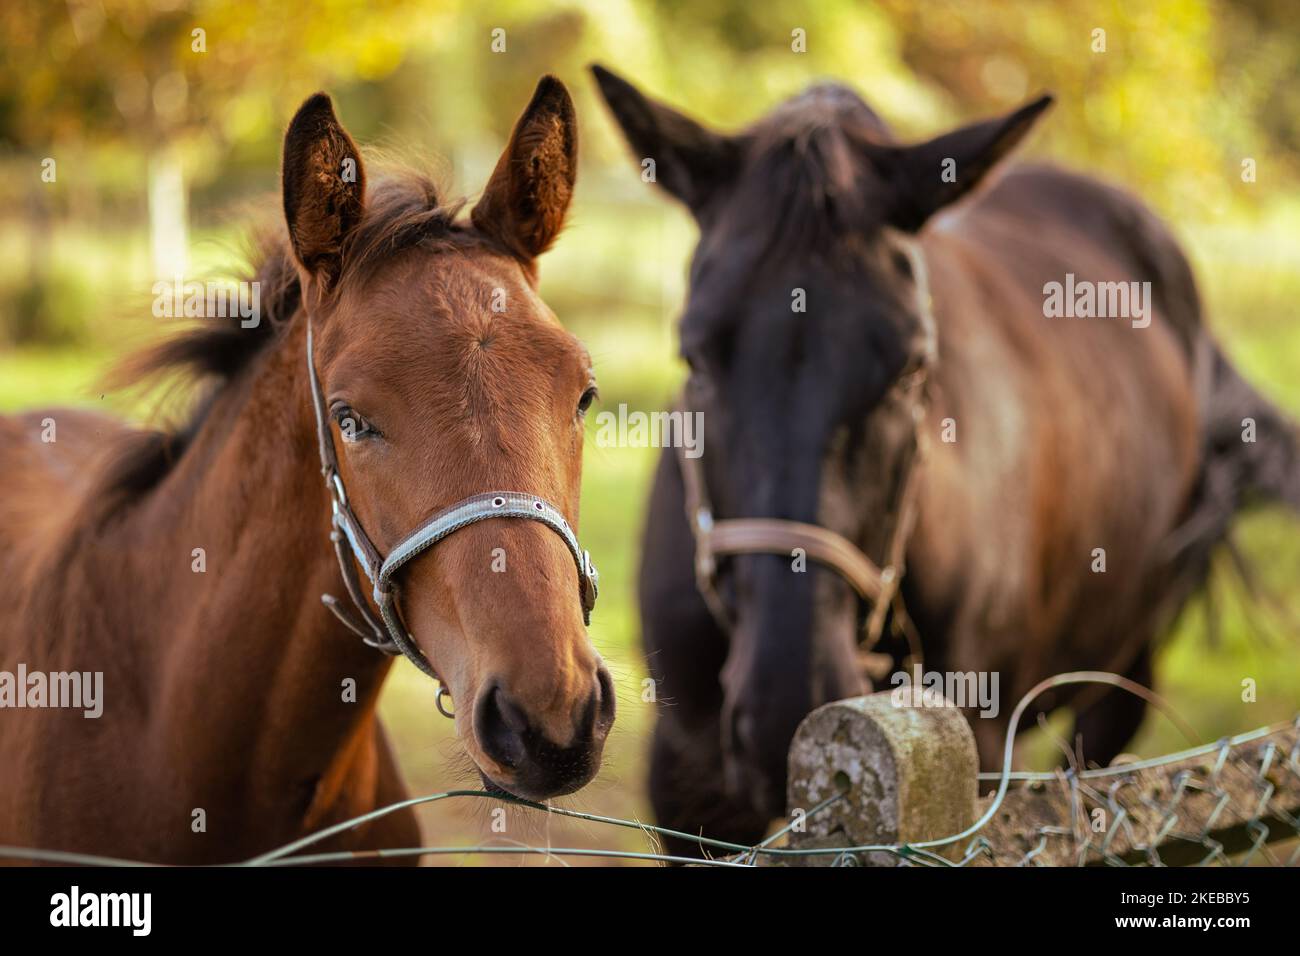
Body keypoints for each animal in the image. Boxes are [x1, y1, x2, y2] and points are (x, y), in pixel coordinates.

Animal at [592, 66, 1300, 855]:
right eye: (694, 356)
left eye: (912, 367)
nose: (790, 707)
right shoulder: (689, 786)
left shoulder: (980, 751)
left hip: (1123, 668)